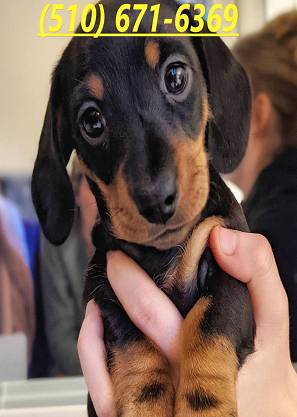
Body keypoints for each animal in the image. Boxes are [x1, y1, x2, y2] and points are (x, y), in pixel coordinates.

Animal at [33, 1, 254, 414]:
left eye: (176, 76)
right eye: (91, 121)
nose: (156, 199)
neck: (160, 254)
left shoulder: (230, 261)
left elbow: (211, 321)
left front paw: (204, 400)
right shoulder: (104, 288)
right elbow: (135, 342)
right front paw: (146, 400)